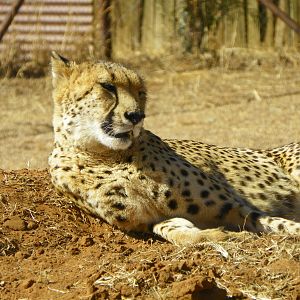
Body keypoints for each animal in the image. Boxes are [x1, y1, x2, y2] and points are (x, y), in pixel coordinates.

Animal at [48, 52, 300, 246]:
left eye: (141, 93)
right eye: (108, 86)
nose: (136, 116)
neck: (104, 155)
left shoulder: (236, 206)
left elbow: (277, 222)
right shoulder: (154, 219)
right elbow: (171, 230)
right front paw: (215, 235)